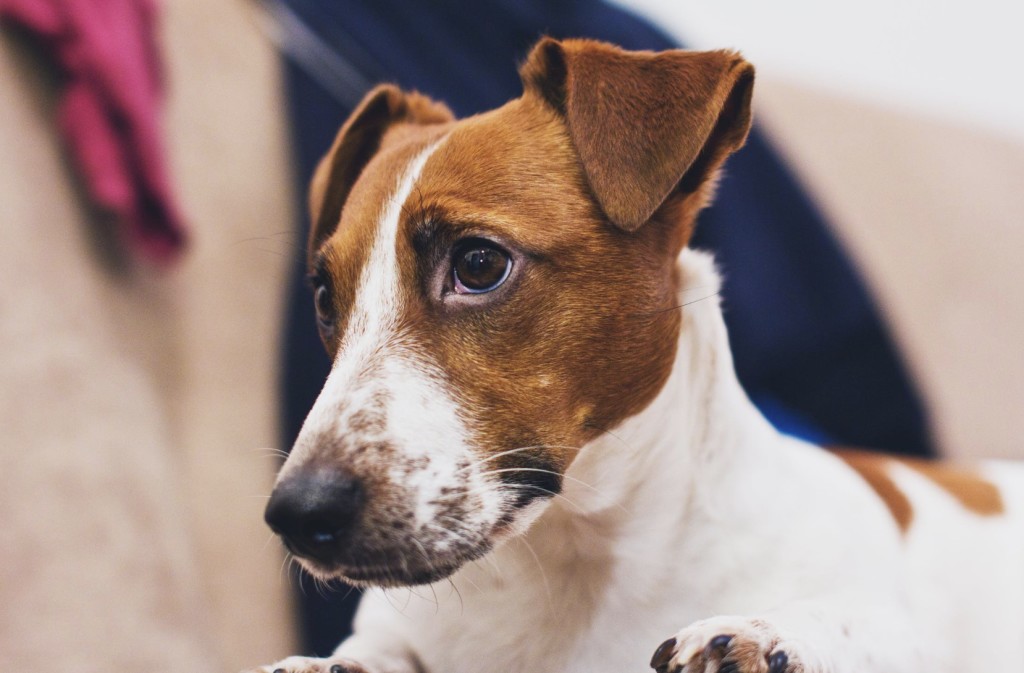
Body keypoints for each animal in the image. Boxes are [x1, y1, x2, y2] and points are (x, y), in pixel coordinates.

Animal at [249, 35, 1024, 671]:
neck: (575, 562)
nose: (297, 516)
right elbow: (370, 649)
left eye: (477, 264)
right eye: (325, 297)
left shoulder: (899, 624)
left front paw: (766, 633)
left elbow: (856, 625)